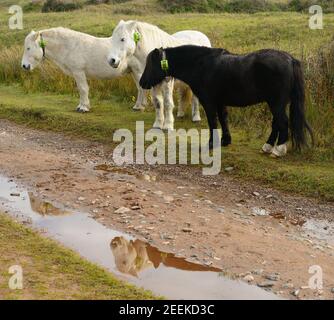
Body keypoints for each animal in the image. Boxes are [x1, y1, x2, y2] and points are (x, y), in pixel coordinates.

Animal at [140, 45, 314, 158]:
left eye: (150, 64)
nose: (142, 82)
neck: (201, 64)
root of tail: (290, 59)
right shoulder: (220, 101)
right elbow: (223, 119)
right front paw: (225, 141)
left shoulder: (209, 101)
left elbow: (213, 121)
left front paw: (211, 144)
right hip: (276, 103)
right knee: (277, 123)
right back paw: (267, 147)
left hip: (276, 102)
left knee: (282, 122)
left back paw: (278, 150)